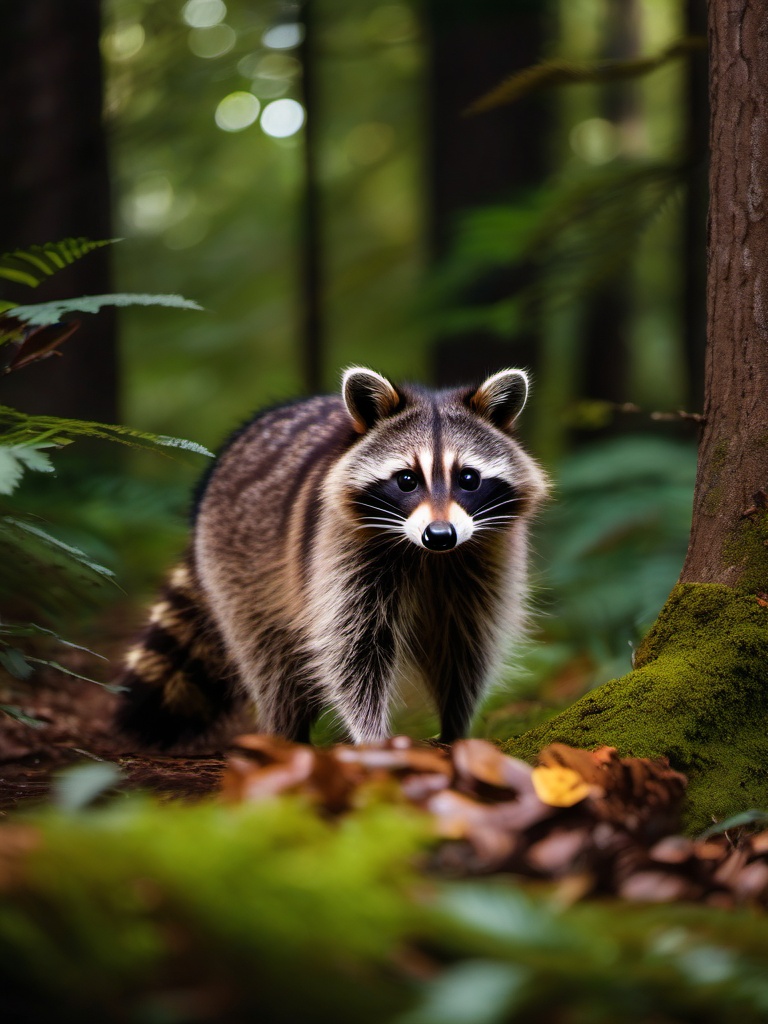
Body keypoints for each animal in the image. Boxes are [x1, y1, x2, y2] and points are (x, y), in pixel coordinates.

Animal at [115, 366, 548, 745]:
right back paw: (286, 733)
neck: (428, 557)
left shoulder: (484, 558)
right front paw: (372, 735)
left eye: (468, 478)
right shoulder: (342, 551)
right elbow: (352, 651)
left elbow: (465, 644)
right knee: (270, 658)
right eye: (407, 479)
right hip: (237, 564)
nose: (440, 535)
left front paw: (456, 724)